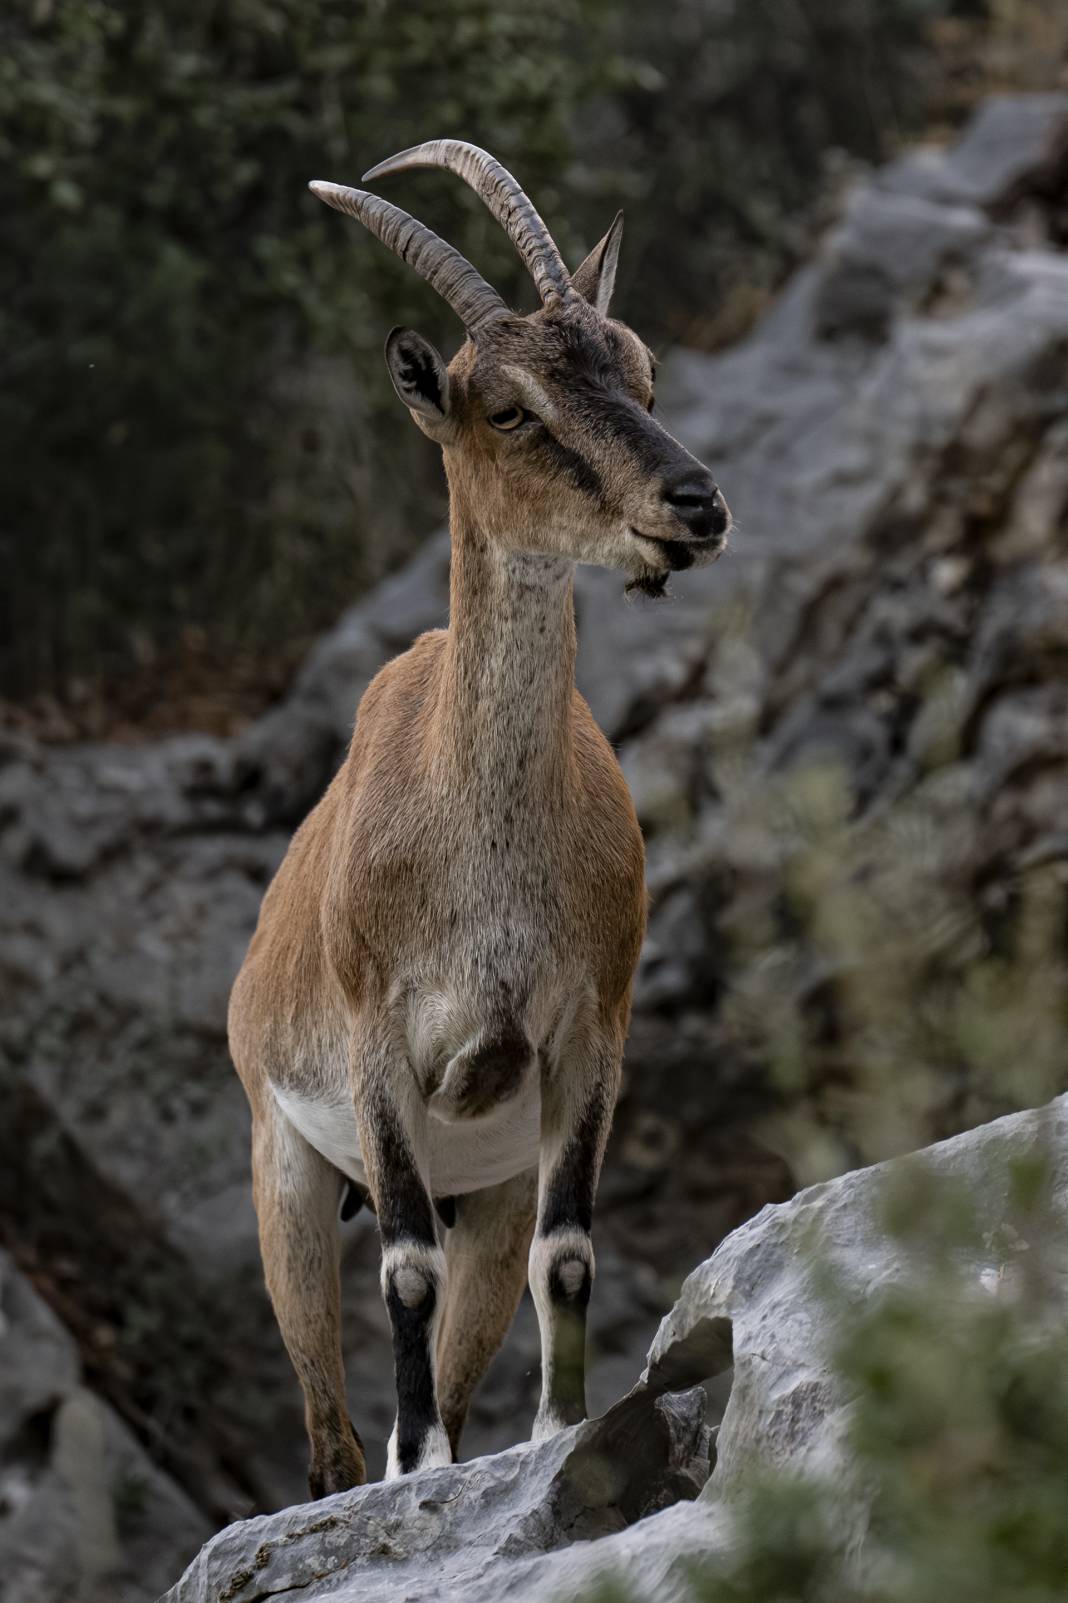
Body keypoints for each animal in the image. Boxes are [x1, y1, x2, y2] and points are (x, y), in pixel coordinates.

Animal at [229, 137, 728, 1487]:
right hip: (285, 1167)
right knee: (325, 1423)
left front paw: (562, 1430)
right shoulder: (380, 1044)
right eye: (507, 406)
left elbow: (573, 1248)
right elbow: (402, 1267)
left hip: (488, 1192)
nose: (694, 502)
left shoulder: (585, 1035)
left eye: (640, 364)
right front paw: (419, 1465)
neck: (481, 841)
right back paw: (385, 1461)